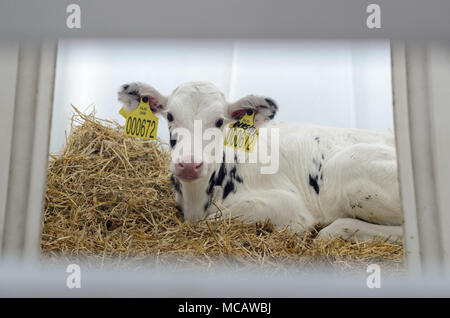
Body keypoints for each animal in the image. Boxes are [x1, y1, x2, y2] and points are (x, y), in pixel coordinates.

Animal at [118, 80, 402, 242]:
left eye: (219, 121)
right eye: (170, 116)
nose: (188, 164)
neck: (196, 201)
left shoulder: (288, 206)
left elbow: (219, 219)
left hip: (350, 166)